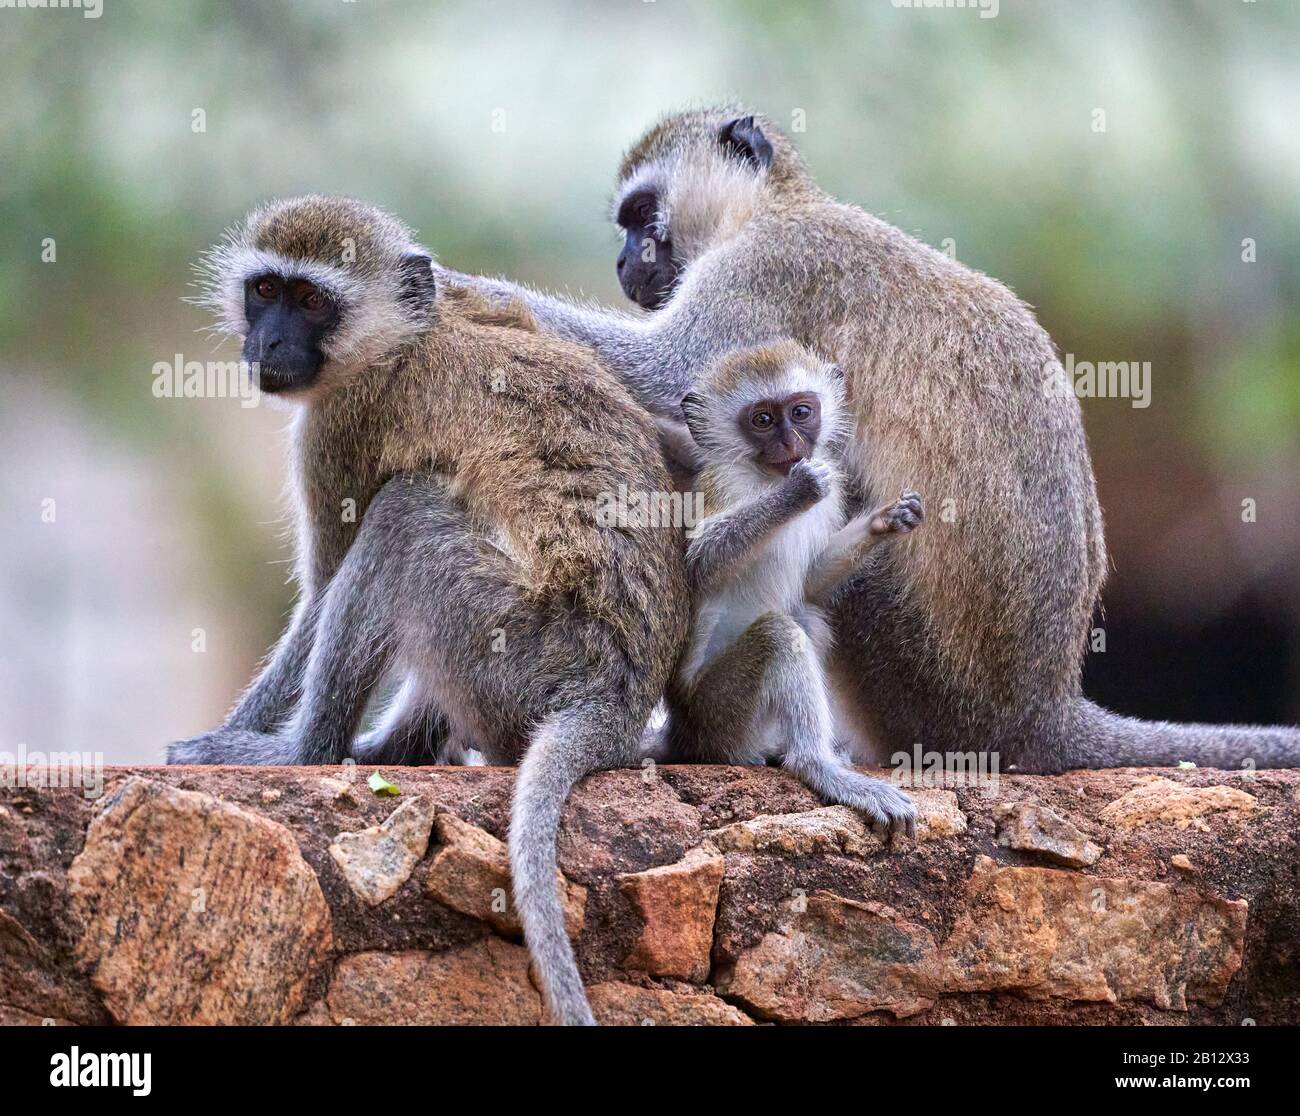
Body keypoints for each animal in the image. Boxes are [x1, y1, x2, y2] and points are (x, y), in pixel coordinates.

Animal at [449, 106, 1300, 775]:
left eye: (638, 215)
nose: (625, 261)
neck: (772, 208)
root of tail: (1043, 709)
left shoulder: (769, 267)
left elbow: (668, 371)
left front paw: (476, 293)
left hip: (919, 671)